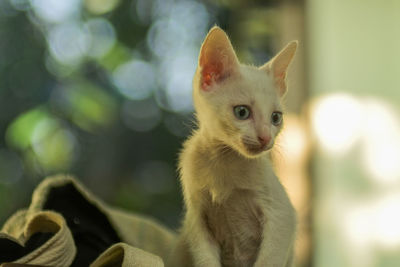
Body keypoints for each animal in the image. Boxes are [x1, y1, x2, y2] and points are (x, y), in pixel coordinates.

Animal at [169, 26, 296, 267]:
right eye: (242, 112)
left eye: (276, 118)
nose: (265, 138)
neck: (224, 159)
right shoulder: (196, 222)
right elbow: (205, 260)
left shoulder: (282, 216)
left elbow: (269, 259)